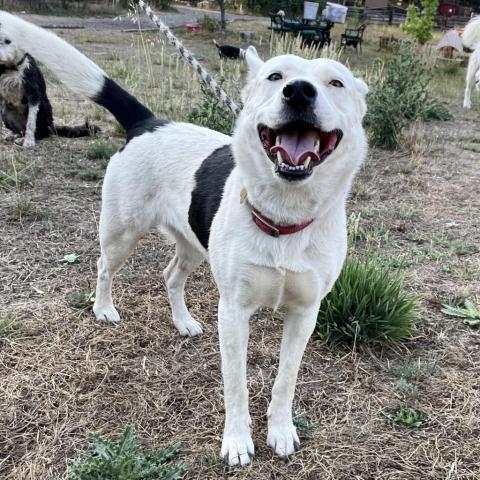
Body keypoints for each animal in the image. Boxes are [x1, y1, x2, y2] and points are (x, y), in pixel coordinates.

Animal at [0, 12, 368, 468]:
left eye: (336, 82)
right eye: (274, 76)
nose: (298, 91)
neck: (285, 215)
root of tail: (150, 122)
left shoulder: (305, 313)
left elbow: (286, 380)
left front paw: (281, 431)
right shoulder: (233, 313)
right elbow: (236, 385)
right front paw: (237, 441)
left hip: (193, 245)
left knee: (171, 275)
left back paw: (183, 321)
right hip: (122, 231)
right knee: (104, 266)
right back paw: (104, 309)